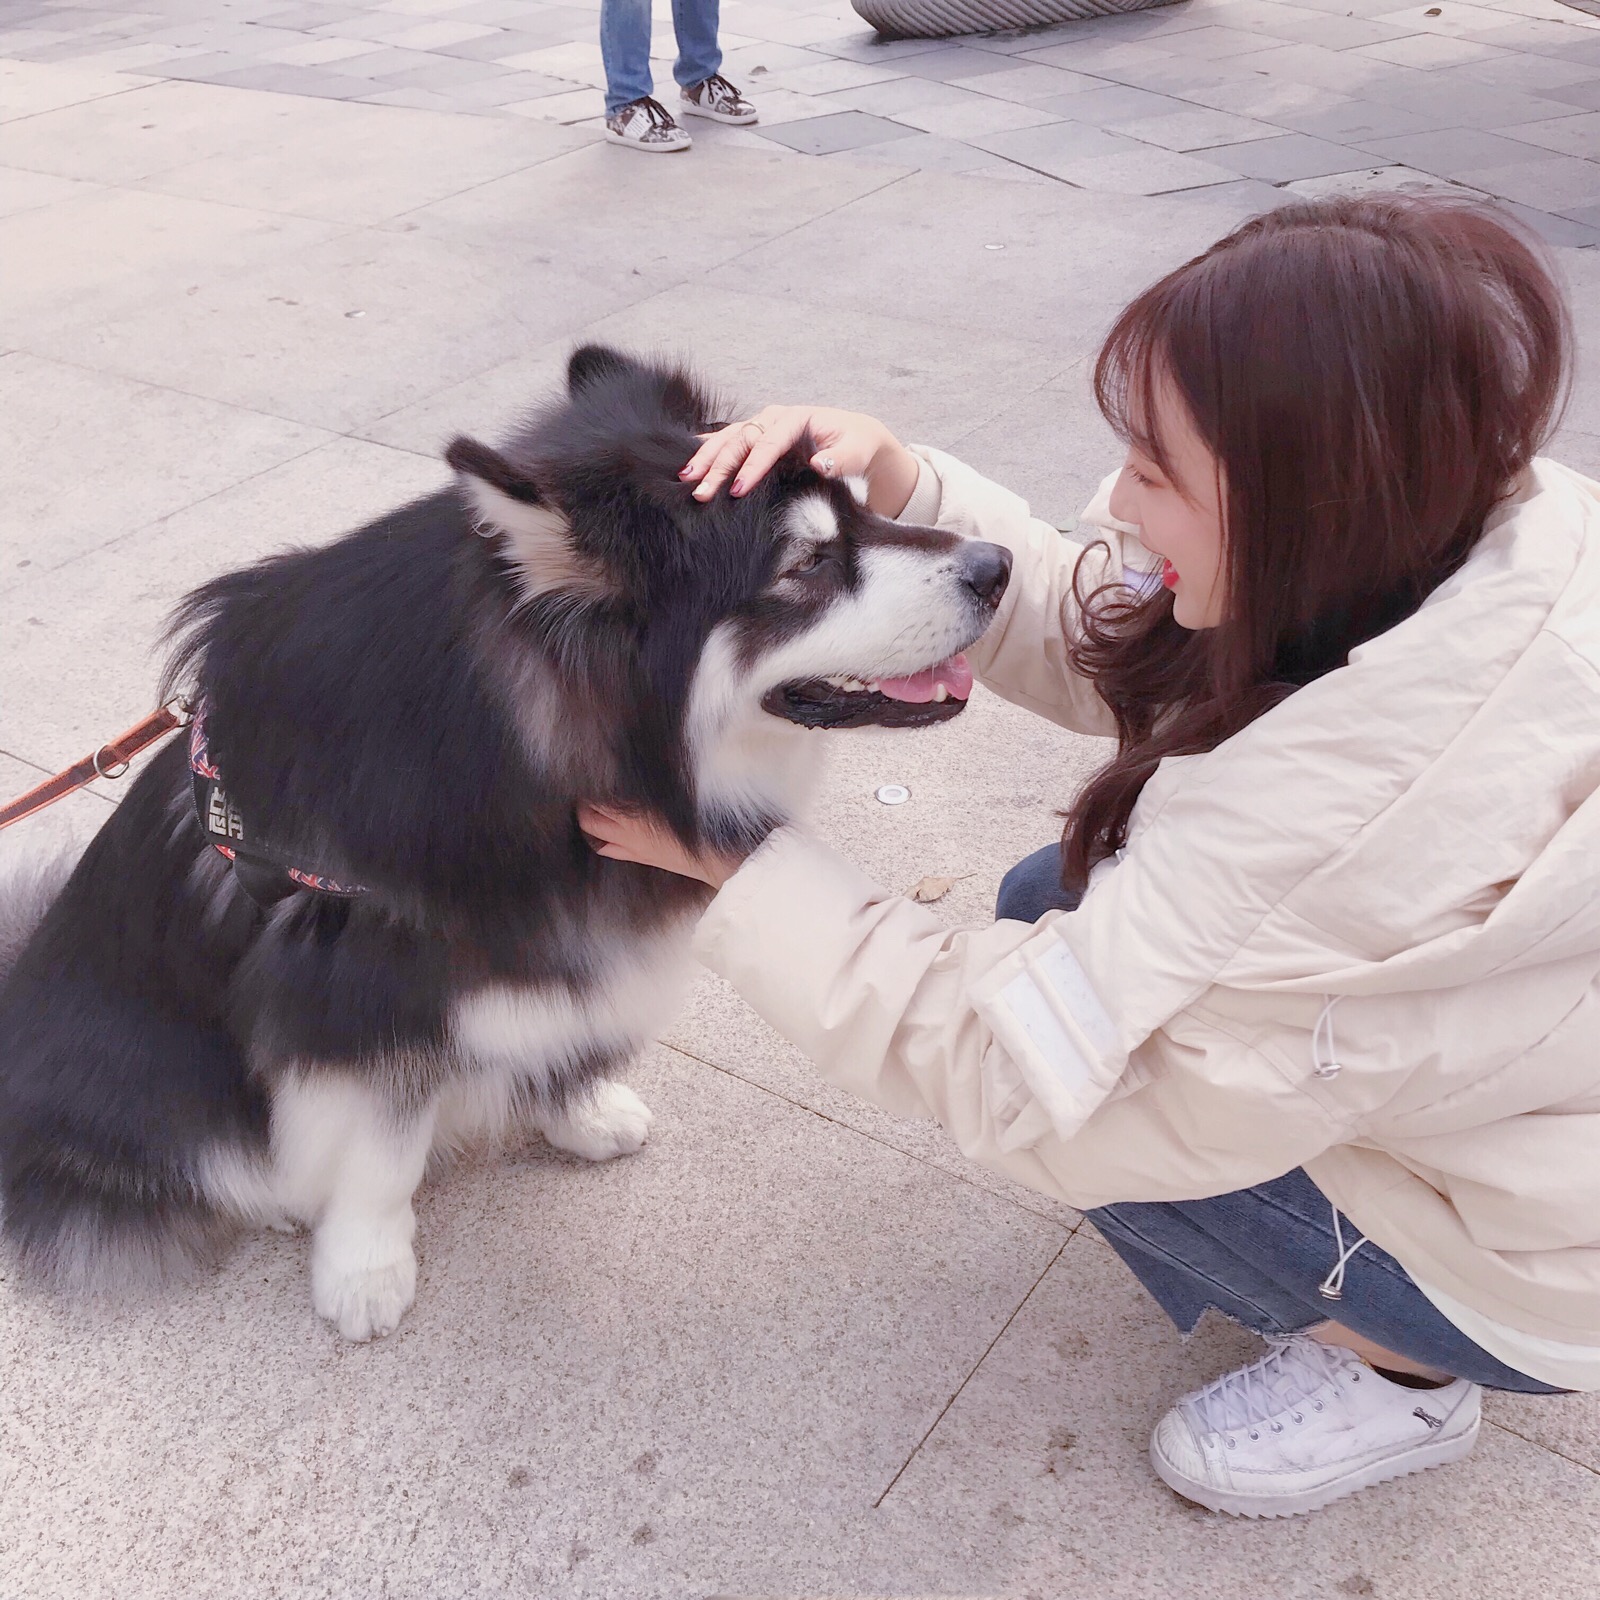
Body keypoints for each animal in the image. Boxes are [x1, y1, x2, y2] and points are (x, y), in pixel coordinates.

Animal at [0, 347, 1004, 1337]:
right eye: (810, 561)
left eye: (862, 503)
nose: (997, 565)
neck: (514, 761)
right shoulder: (360, 991)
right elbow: (382, 1149)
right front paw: (363, 1269)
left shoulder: (564, 951)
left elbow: (562, 1040)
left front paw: (579, 1114)